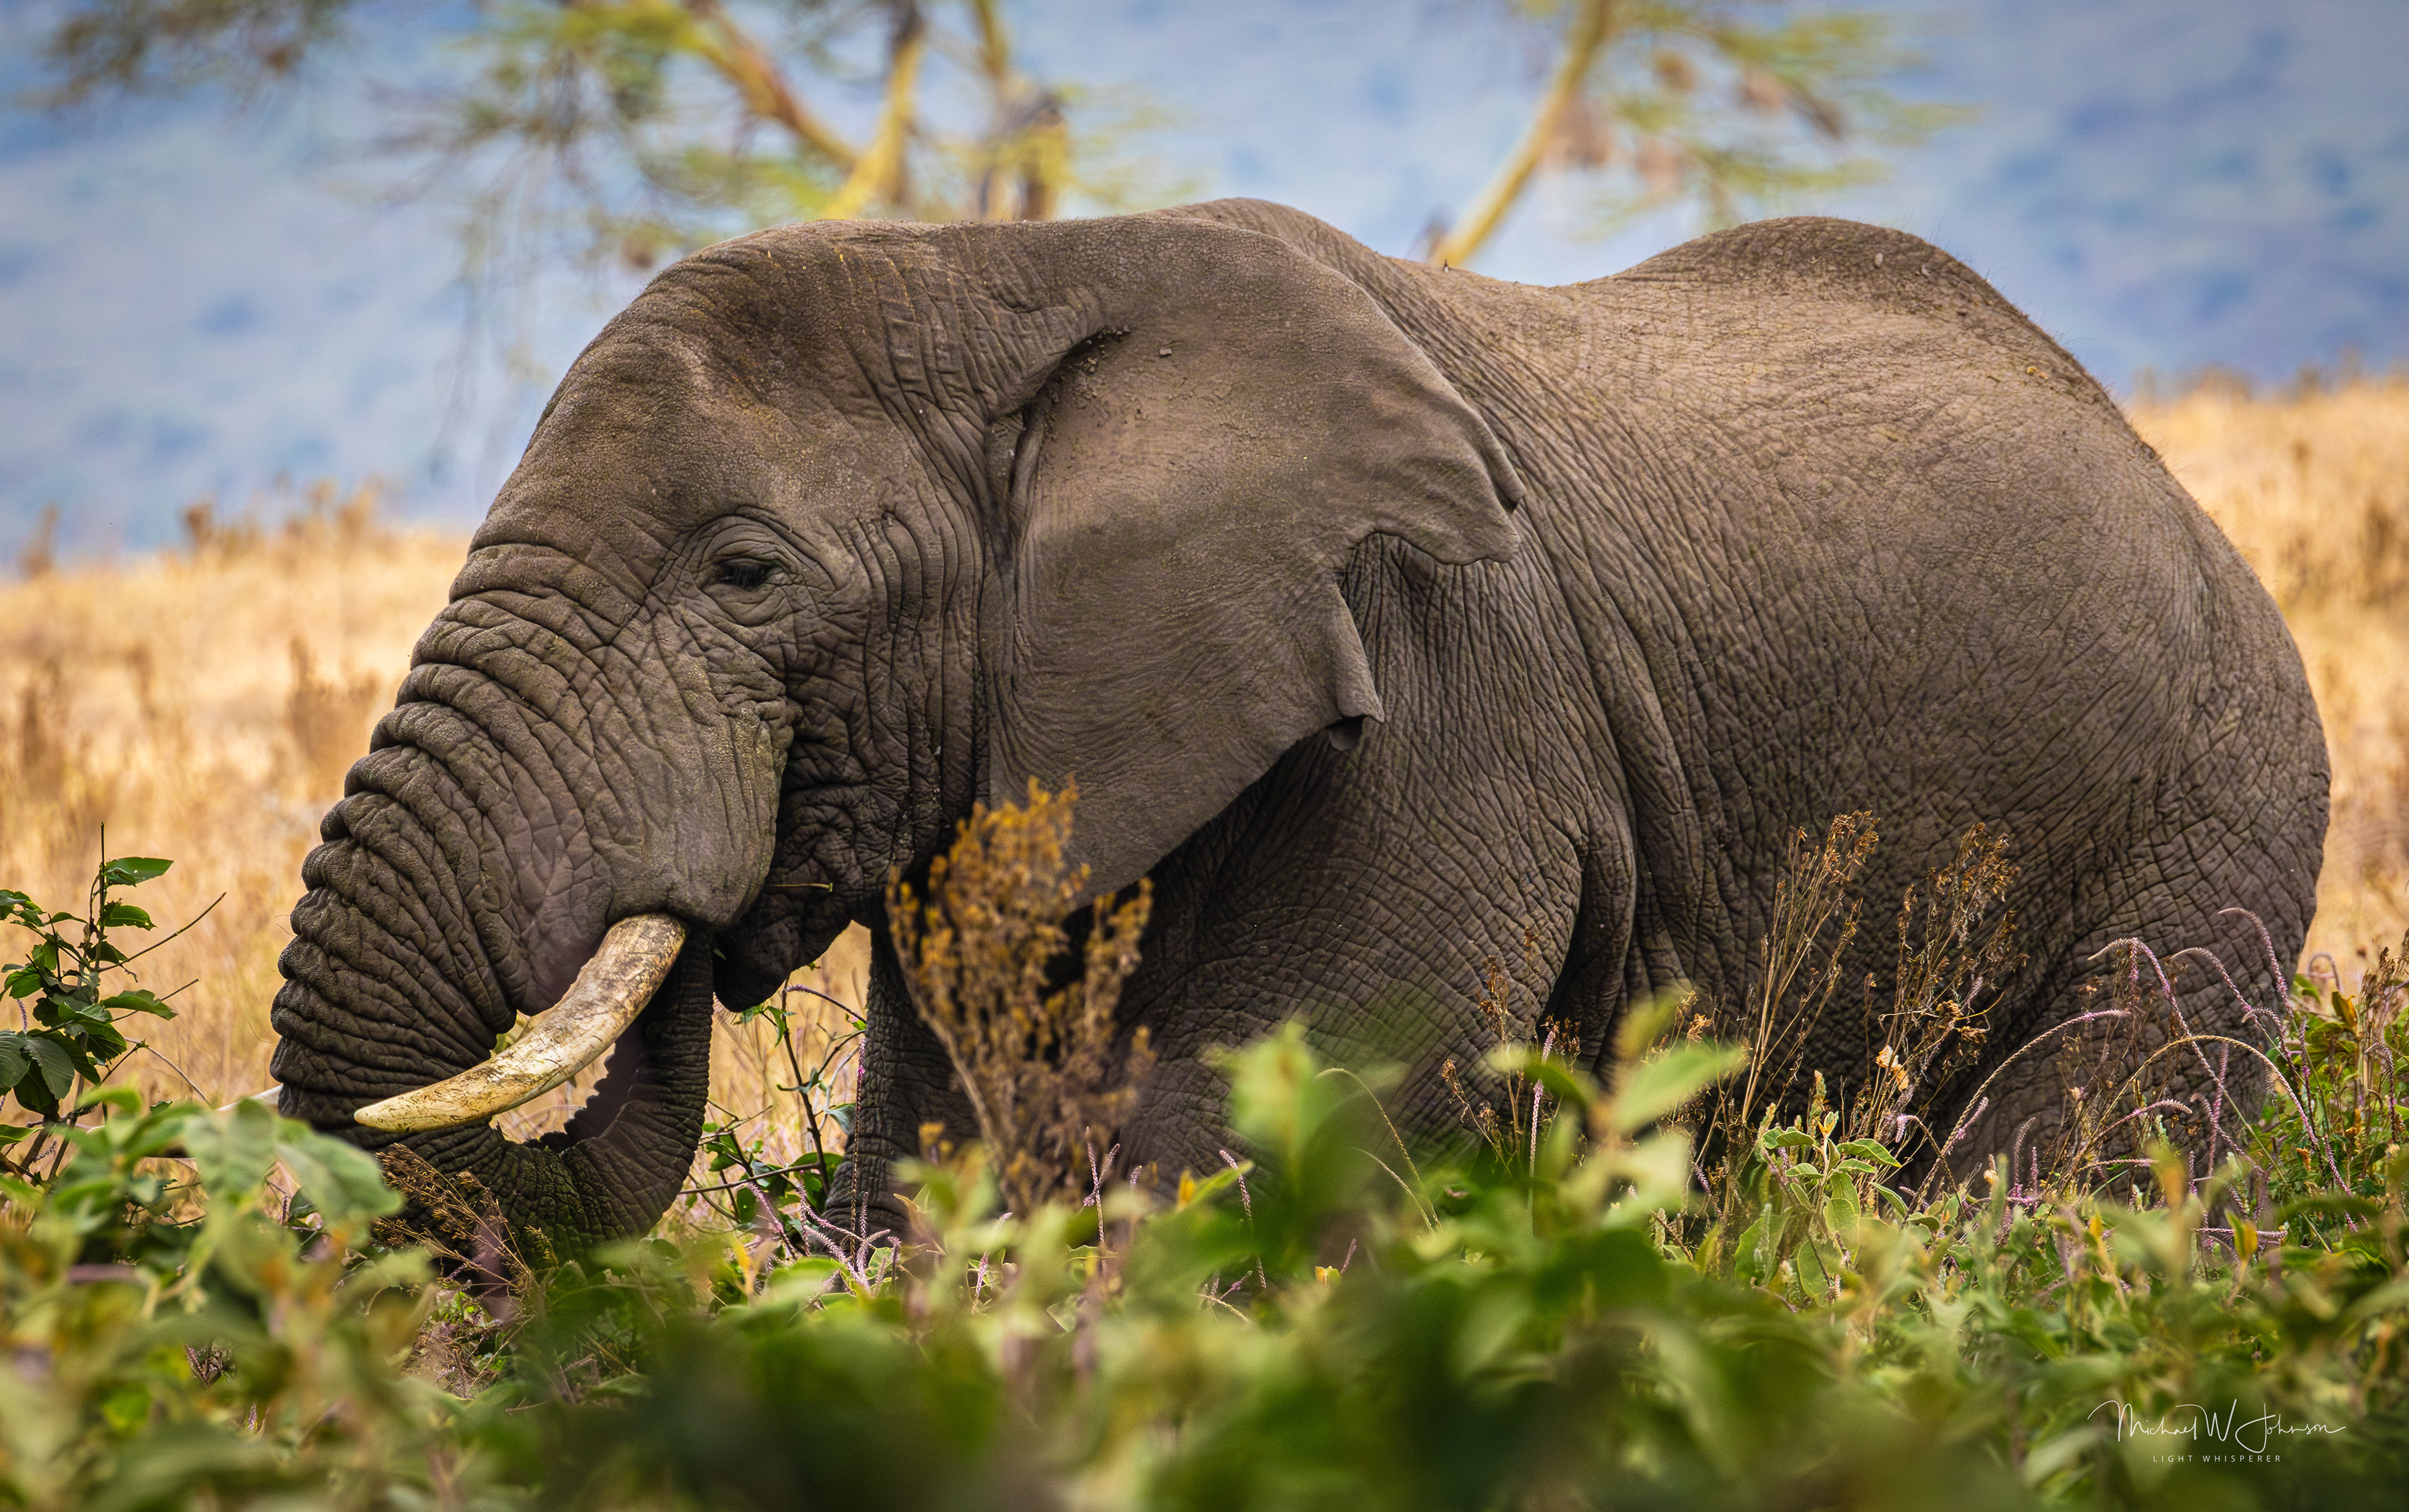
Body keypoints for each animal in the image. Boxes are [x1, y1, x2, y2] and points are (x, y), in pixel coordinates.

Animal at [268, 199, 2327, 1248]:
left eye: (747, 575)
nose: (692, 915)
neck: (984, 267)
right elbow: (934, 1163)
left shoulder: (1435, 683)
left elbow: (1249, 1149)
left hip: (2208, 822)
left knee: (2056, 1184)